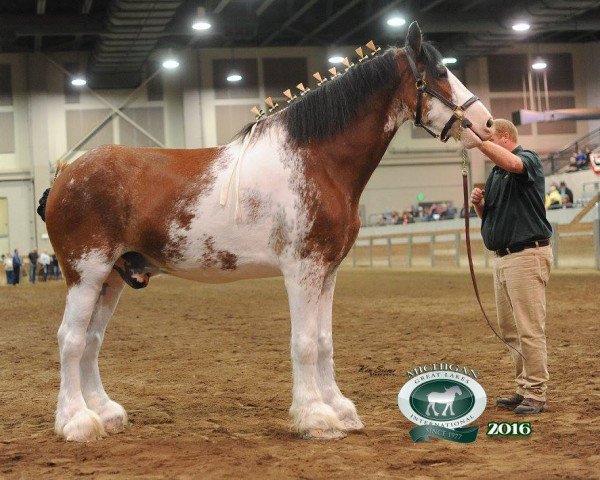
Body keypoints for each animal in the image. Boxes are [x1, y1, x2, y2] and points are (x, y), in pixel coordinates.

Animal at [41, 22, 492, 442]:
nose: (486, 123)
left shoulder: (328, 272)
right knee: (71, 339)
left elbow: (324, 341)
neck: (316, 160)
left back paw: (104, 413)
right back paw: (77, 421)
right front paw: (315, 417)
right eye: (438, 74)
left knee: (91, 340)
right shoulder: (303, 270)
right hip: (87, 273)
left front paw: (340, 410)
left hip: (112, 278)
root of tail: (65, 174)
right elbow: (304, 342)